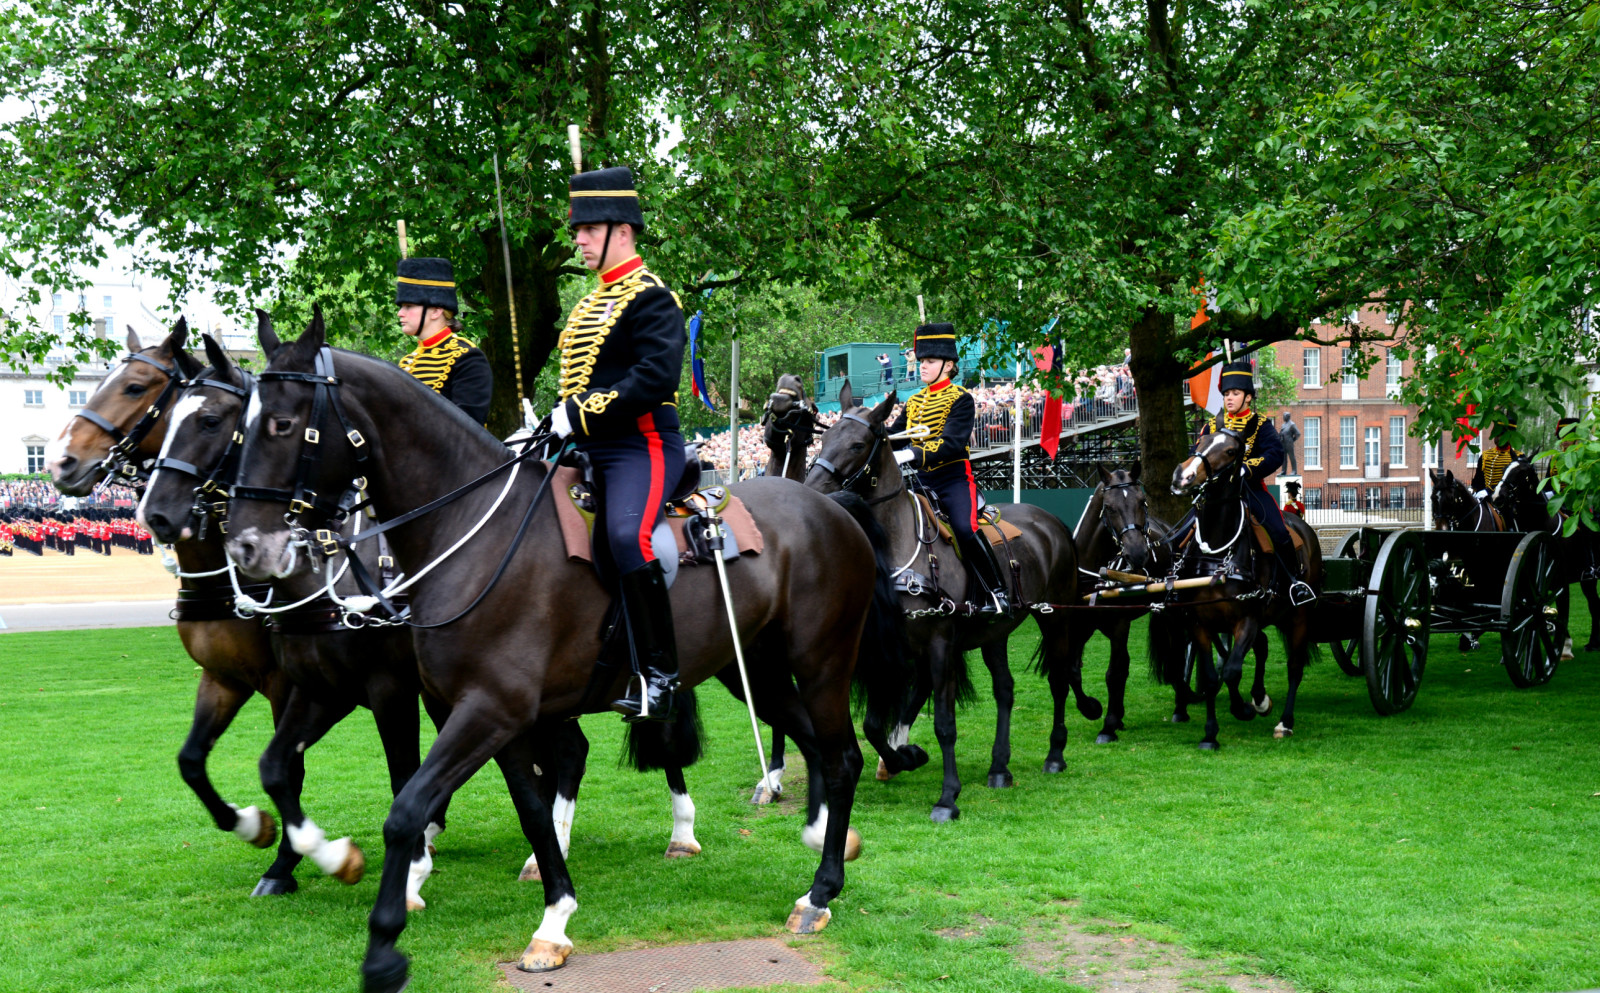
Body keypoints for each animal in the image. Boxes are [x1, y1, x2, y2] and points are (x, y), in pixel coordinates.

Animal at [219, 313, 908, 985]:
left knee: (842, 756)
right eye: (238, 428)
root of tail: (830, 506)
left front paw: (385, 941)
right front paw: (552, 922)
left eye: (282, 424)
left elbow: (407, 808)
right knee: (816, 745)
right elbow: (528, 807)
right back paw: (824, 840)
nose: (247, 548)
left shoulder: (485, 709)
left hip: (820, 664)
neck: (475, 531)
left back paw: (818, 892)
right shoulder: (493, 715)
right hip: (753, 672)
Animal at [806, 383, 1081, 818]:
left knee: (1057, 679)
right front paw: (906, 757)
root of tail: (1052, 522)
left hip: (1054, 617)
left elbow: (944, 724)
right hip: (995, 632)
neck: (901, 545)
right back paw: (999, 767)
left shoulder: (939, 644)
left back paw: (1055, 754)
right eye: (823, 438)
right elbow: (873, 724)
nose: (812, 489)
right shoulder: (889, 650)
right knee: (1005, 689)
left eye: (857, 444)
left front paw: (947, 797)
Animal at [1164, 425, 1324, 741]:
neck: (1218, 549)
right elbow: (1212, 676)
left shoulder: (1247, 618)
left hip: (1299, 615)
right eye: (1200, 440)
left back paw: (1285, 721)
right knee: (1262, 646)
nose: (1183, 476)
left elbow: (1232, 670)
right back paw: (1260, 697)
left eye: (1230, 451)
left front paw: (1243, 709)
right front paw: (1210, 733)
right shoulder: (1200, 623)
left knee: (1294, 667)